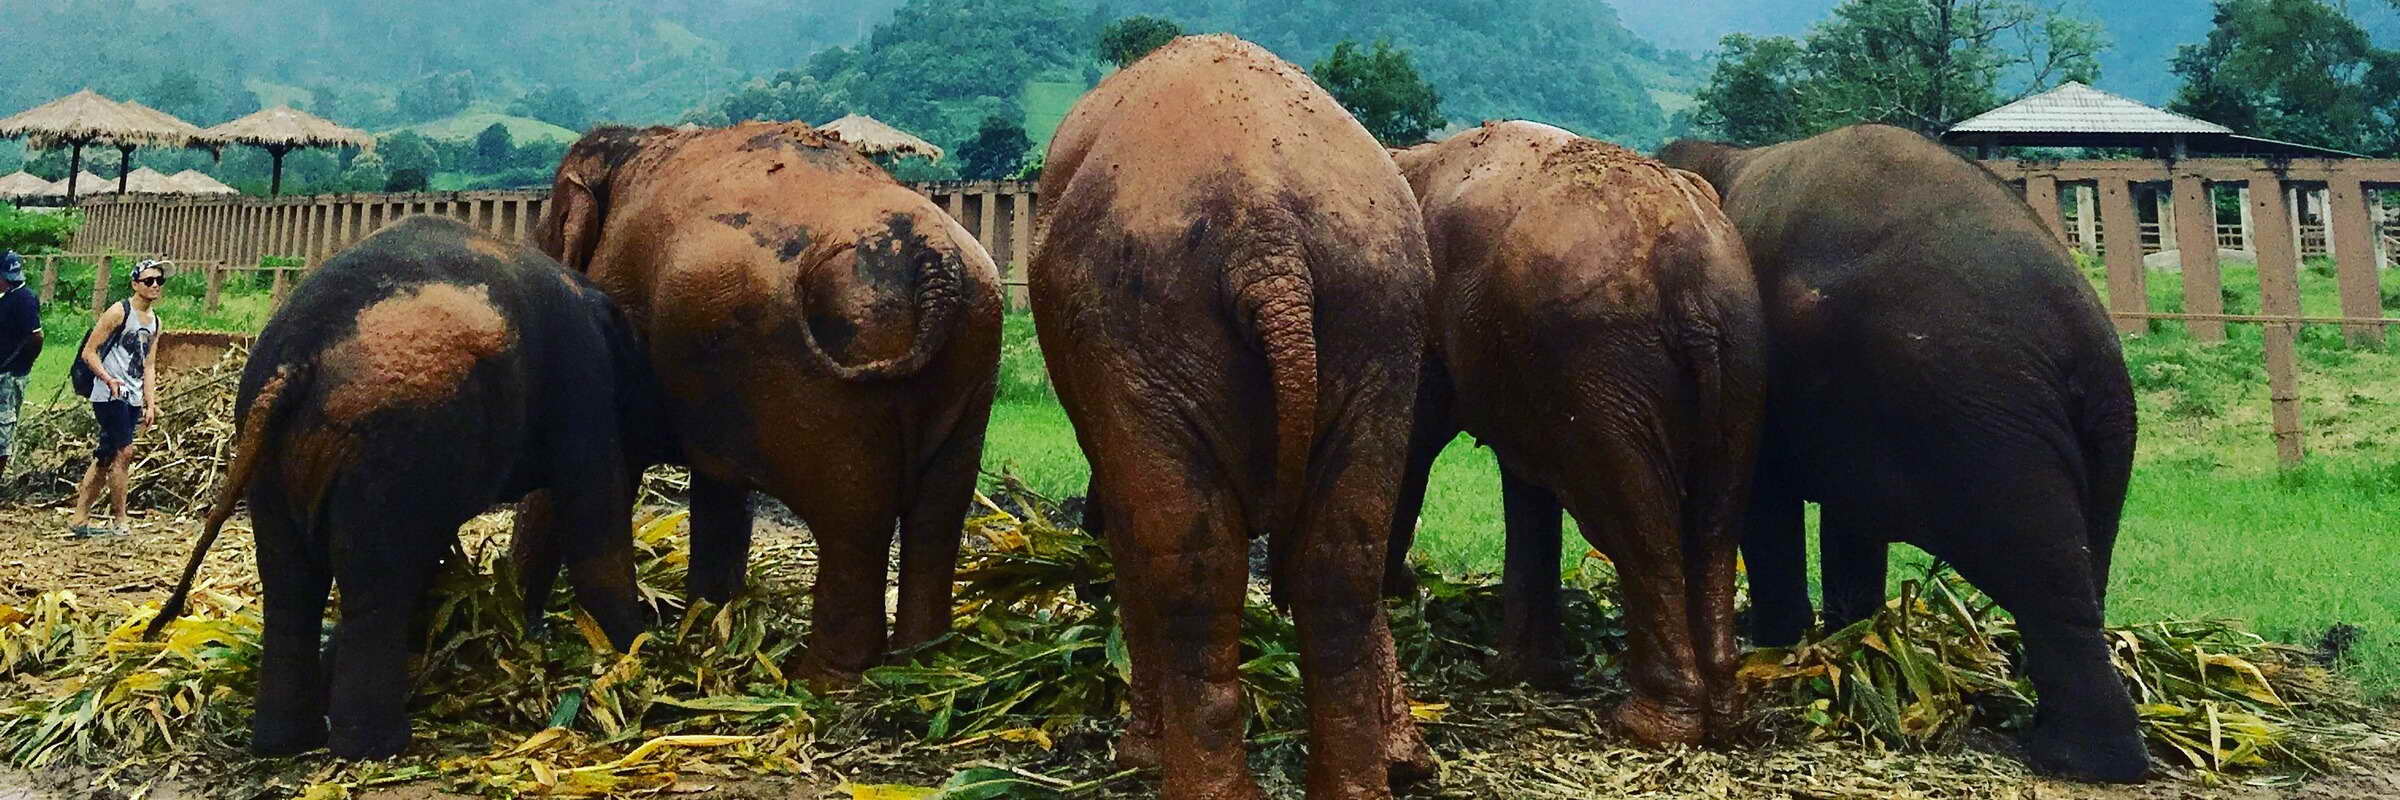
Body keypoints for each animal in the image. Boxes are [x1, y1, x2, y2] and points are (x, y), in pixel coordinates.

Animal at [145, 215, 672, 759]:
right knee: (375, 580)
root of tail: (296, 360)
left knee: (293, 579)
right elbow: (594, 524)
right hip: (388, 441)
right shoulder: (582, 383)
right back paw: (376, 747)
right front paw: (644, 655)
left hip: (273, 450)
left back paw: (286, 743)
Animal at [537, 121, 1003, 682]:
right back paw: (921, 660)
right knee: (939, 512)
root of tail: (935, 258)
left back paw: (821, 682)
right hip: (973, 351)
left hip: (847, 373)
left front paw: (623, 648)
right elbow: (719, 492)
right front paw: (704, 629)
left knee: (853, 521)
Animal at [1027, 34, 1430, 797]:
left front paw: (1137, 756)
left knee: (1191, 559)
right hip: (1379, 319)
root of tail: (1266, 237)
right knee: (1342, 557)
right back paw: (1362, 782)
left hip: (1145, 327)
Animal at [1392, 121, 1766, 744]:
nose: (1410, 589)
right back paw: (1721, 715)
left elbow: (1412, 439)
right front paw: (1525, 676)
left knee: (1633, 520)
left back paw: (1649, 726)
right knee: (1717, 518)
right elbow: (1522, 482)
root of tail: (1690, 273)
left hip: (1603, 364)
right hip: (1737, 358)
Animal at [1660, 124, 2150, 778]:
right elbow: (1847, 523)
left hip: (1984, 425)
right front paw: (1843, 644)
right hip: (2104, 432)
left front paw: (1779, 643)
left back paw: (2079, 760)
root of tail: (2076, 341)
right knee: (2087, 564)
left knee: (2041, 572)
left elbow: (1766, 503)